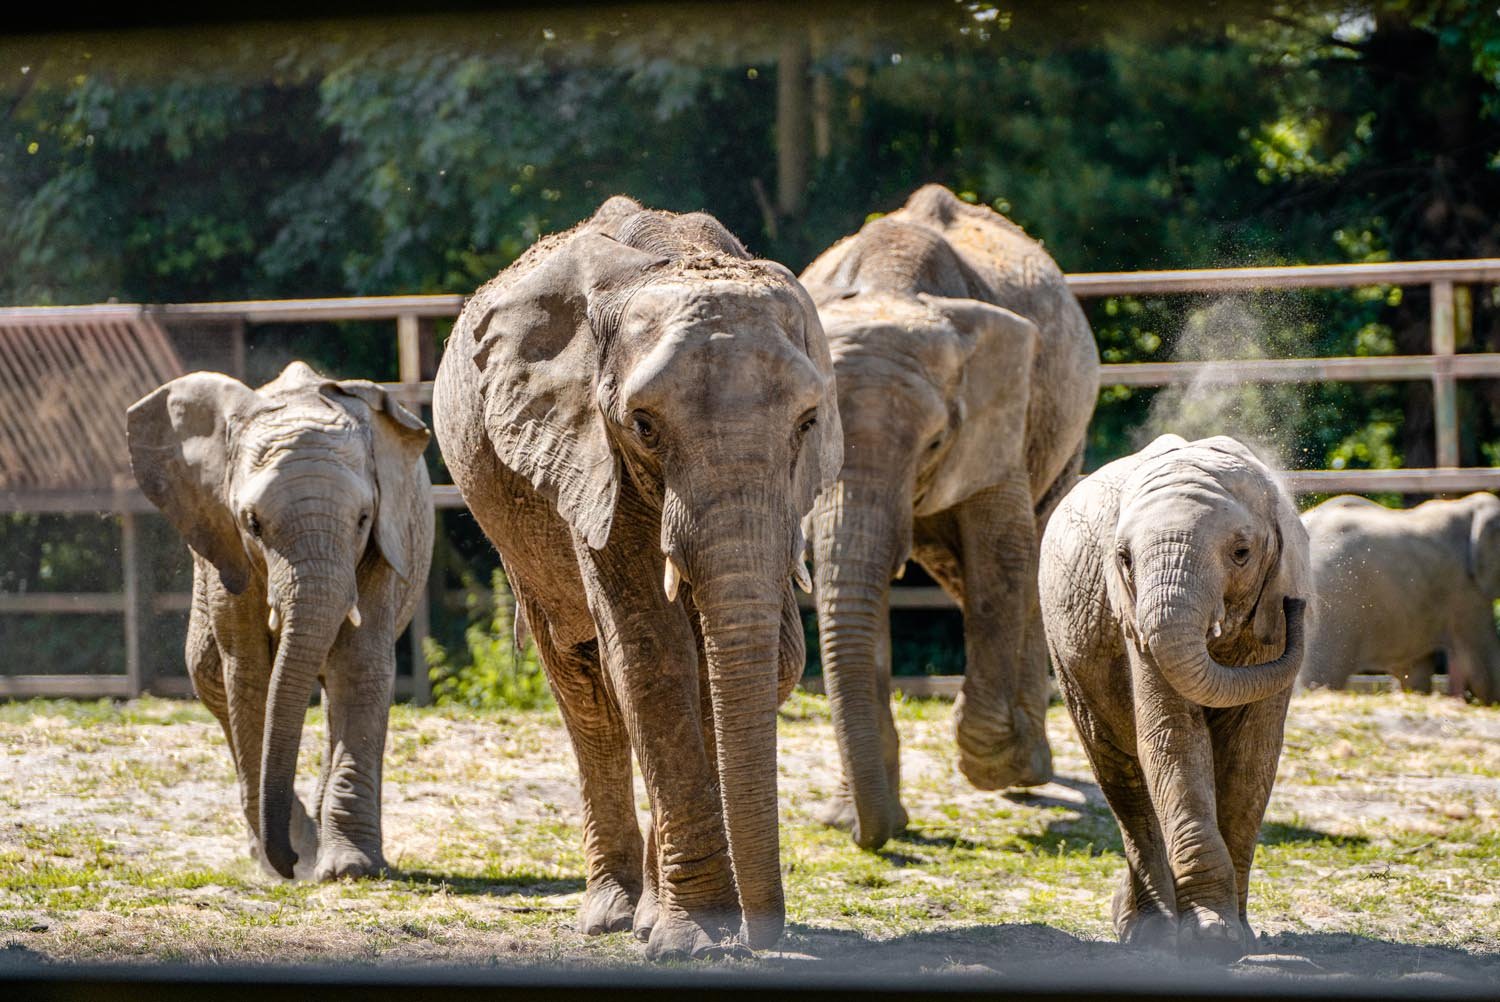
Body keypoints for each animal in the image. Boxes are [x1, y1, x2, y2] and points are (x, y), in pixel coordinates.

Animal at [125, 364, 432, 882]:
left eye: (362, 519)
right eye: (253, 524)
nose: (289, 864)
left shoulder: (383, 545)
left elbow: (361, 668)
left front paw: (349, 869)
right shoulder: (226, 549)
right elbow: (249, 674)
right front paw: (287, 862)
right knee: (208, 674)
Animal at [432, 198, 846, 960]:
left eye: (808, 422)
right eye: (645, 427)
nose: (767, 936)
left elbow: (766, 660)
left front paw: (691, 928)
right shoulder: (586, 449)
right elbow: (652, 657)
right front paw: (695, 941)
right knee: (582, 676)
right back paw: (613, 912)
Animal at [798, 183, 1104, 852]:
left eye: (935, 442)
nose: (881, 834)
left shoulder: (1000, 418)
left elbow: (1004, 556)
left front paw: (994, 764)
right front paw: (854, 817)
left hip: (1066, 434)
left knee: (1032, 556)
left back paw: (1029, 768)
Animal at [1038, 435, 1308, 960]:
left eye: (1242, 552)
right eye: (1123, 558)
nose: (1297, 606)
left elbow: (1251, 756)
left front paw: (1235, 935)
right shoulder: (1133, 620)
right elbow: (1173, 740)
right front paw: (1209, 938)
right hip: (1063, 653)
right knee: (1121, 777)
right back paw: (1146, 933)